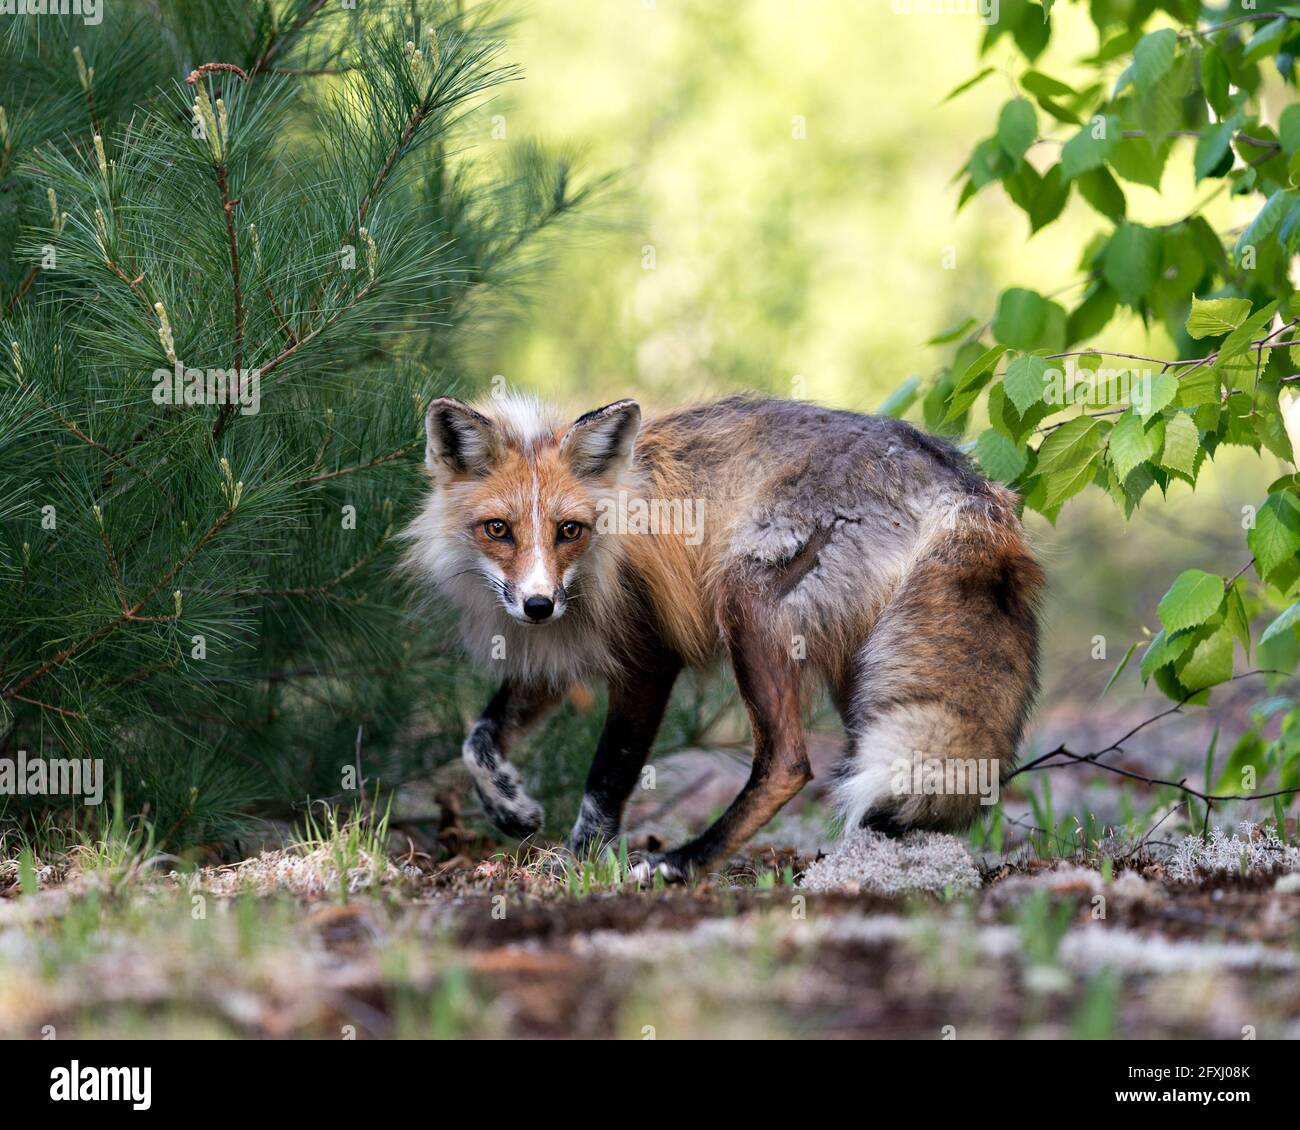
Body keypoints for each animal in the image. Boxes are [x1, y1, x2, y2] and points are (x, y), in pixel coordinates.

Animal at [400, 397, 1040, 884]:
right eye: (498, 530)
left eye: (569, 531)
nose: (538, 604)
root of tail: (967, 484)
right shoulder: (553, 654)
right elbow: (477, 740)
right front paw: (509, 806)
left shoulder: (648, 656)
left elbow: (606, 780)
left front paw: (578, 864)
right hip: (862, 669)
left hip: (747, 605)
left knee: (787, 763)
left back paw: (686, 862)